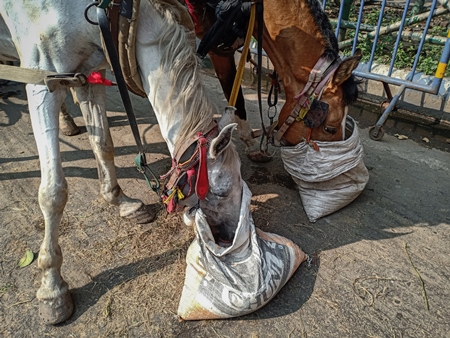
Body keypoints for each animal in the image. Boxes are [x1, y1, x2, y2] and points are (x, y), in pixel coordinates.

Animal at [0, 0, 244, 324]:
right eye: (221, 191)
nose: (227, 237)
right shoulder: (43, 79)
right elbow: (53, 192)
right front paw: (52, 287)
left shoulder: (88, 74)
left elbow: (103, 144)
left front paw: (121, 201)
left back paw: (68, 124)